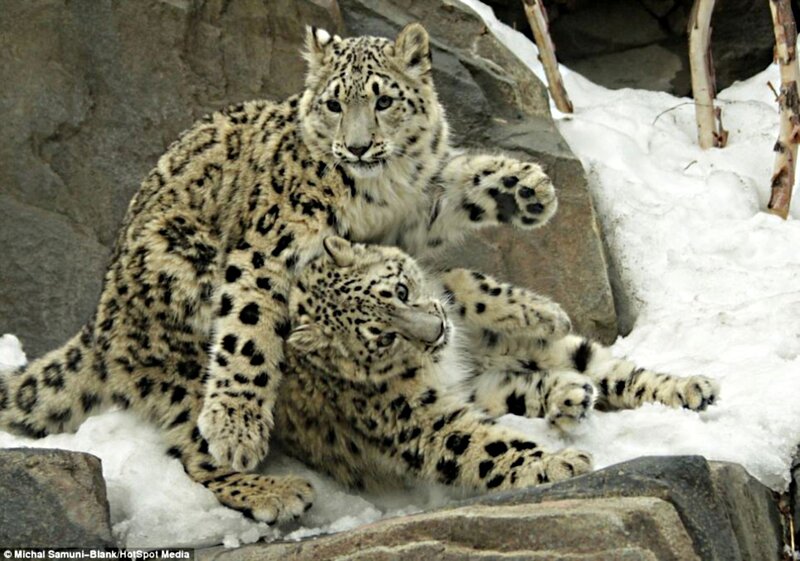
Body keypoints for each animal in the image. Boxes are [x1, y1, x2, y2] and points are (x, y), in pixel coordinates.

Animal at [0, 23, 562, 523]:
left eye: (383, 101)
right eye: (334, 105)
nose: (358, 147)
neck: (382, 190)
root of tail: (99, 325)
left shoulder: (411, 217)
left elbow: (451, 201)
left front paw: (529, 192)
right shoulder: (270, 244)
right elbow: (248, 328)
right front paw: (235, 428)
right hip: (183, 306)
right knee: (192, 448)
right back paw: (271, 487)